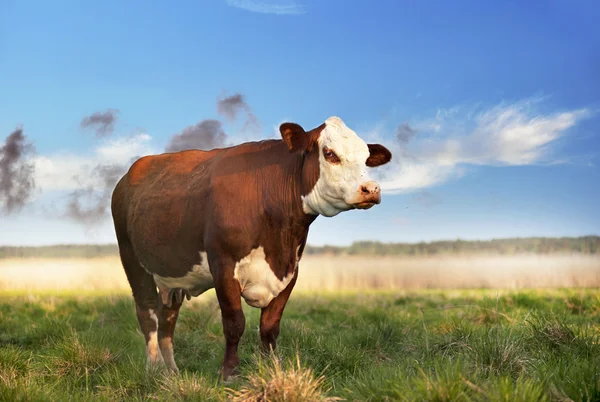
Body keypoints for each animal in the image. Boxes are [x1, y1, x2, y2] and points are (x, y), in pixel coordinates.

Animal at [111, 116, 394, 380]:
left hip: (173, 273)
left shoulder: (290, 270)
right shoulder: (223, 265)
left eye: (366, 158)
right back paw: (154, 367)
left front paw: (270, 368)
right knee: (147, 313)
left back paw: (171, 371)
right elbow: (234, 323)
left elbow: (270, 326)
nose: (371, 189)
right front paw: (229, 372)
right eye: (329, 153)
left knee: (168, 318)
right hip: (132, 259)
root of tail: (129, 174)